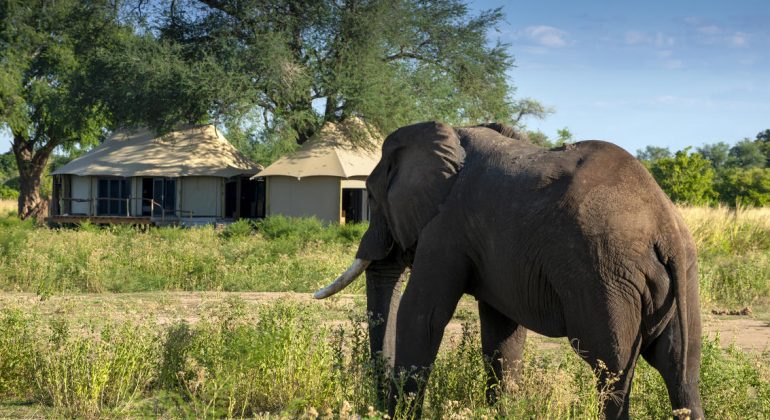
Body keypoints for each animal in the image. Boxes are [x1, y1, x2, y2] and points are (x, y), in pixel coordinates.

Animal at [312, 120, 704, 418]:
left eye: (370, 197)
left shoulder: (445, 228)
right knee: (682, 369)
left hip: (604, 277)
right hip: (679, 277)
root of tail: (664, 226)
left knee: (612, 370)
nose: (377, 406)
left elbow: (423, 315)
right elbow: (502, 334)